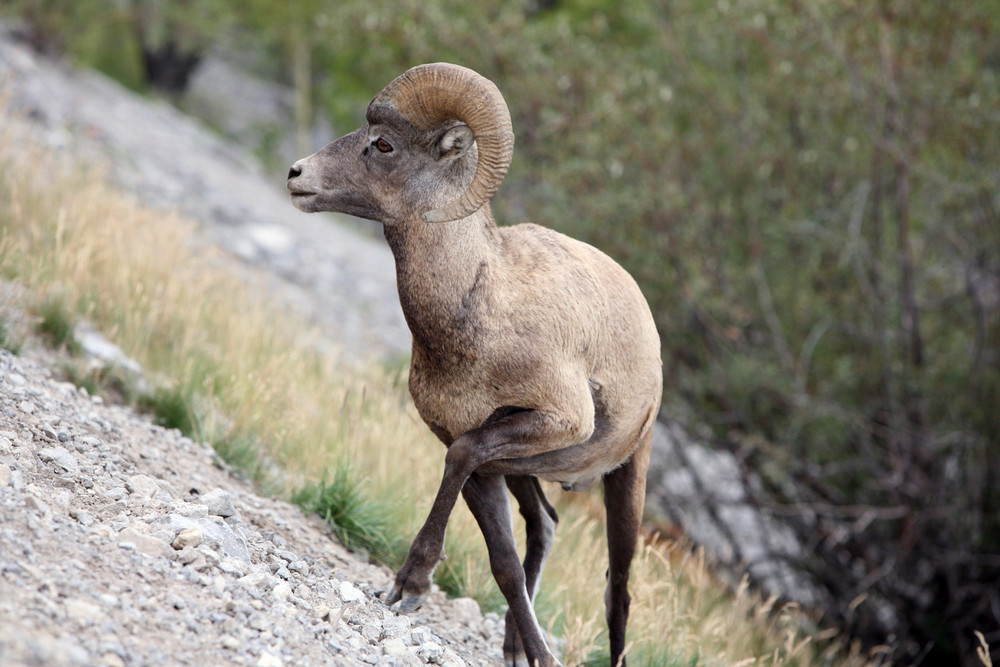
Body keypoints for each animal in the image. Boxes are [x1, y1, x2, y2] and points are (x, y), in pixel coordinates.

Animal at [288, 62, 664, 667]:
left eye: (383, 144)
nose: (297, 174)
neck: (480, 309)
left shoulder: (543, 426)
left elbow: (469, 462)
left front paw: (410, 586)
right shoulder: (480, 462)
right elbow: (504, 566)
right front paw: (533, 654)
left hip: (627, 475)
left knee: (620, 592)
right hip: (525, 473)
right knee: (545, 529)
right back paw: (514, 646)